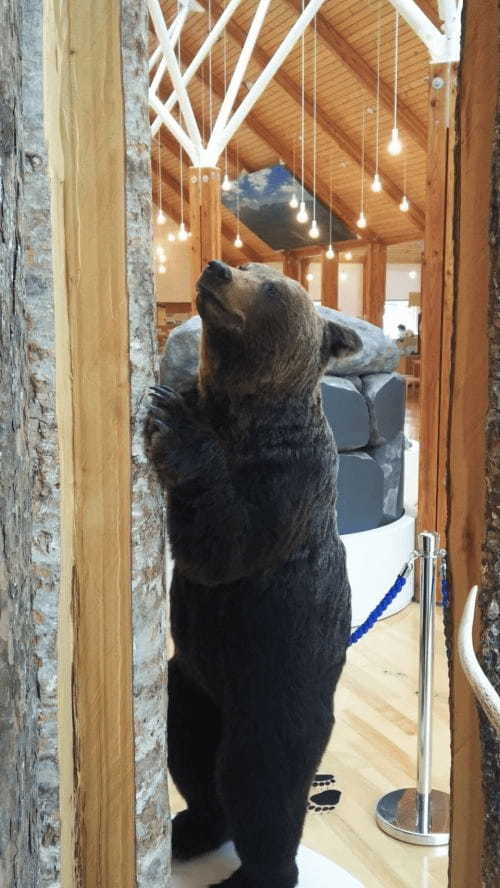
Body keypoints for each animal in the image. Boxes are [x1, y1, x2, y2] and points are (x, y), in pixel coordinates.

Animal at [144, 260, 360, 884]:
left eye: (269, 287)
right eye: (248, 266)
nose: (217, 268)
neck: (238, 414)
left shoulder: (288, 483)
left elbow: (226, 544)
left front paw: (173, 424)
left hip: (274, 685)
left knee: (260, 780)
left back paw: (260, 870)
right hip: (195, 680)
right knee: (189, 748)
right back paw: (192, 827)